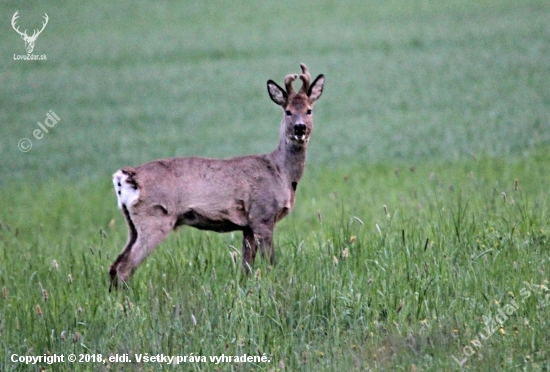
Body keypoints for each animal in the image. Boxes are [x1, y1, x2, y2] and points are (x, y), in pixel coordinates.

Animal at [111, 64, 326, 290]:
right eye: (288, 111)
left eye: (309, 110)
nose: (300, 128)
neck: (281, 172)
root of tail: (125, 177)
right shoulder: (262, 215)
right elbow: (270, 262)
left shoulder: (247, 224)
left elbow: (246, 267)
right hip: (155, 217)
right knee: (125, 267)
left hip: (133, 224)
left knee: (114, 266)